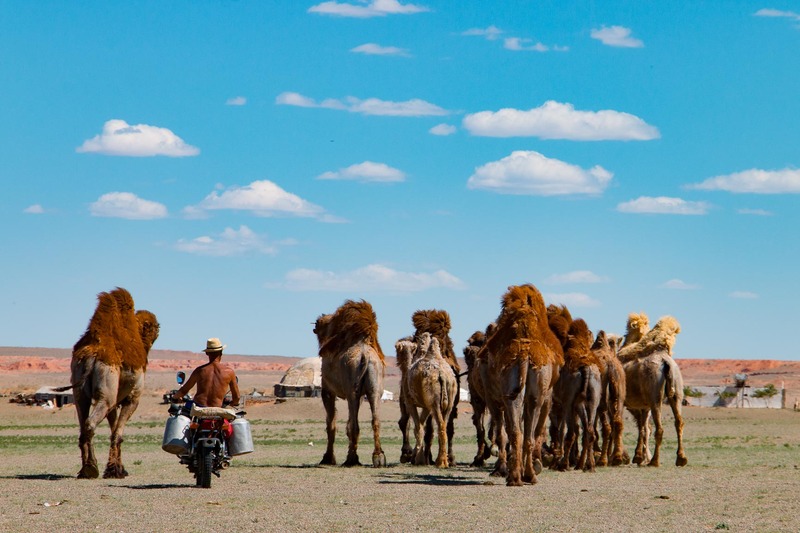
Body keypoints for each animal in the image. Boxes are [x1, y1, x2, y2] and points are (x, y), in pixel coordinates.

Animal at [66, 286, 160, 478]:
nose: (158, 330)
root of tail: (92, 356)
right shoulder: (132, 399)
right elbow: (117, 434)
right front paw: (115, 470)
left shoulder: (116, 401)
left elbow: (113, 429)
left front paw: (117, 468)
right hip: (106, 388)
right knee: (90, 423)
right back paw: (91, 467)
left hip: (79, 389)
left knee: (82, 419)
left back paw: (85, 469)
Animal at [314, 300, 386, 466]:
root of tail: (365, 355)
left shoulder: (327, 390)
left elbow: (331, 425)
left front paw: (328, 458)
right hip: (374, 387)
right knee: (375, 420)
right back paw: (378, 456)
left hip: (351, 389)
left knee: (354, 425)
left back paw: (352, 459)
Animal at [396, 308, 460, 466]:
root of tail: (443, 375)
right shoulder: (426, 406)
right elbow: (422, 426)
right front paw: (417, 455)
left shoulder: (410, 402)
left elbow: (418, 427)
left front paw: (415, 457)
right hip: (449, 400)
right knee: (446, 426)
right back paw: (444, 459)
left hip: (435, 402)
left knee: (440, 425)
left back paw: (441, 461)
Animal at [482, 284, 564, 484]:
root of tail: (525, 350)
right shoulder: (548, 396)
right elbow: (540, 429)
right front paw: (538, 462)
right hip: (537, 393)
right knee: (528, 432)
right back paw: (529, 474)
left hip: (510, 390)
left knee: (514, 432)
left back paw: (513, 475)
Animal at [620, 314, 688, 468]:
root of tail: (666, 362)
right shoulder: (643, 406)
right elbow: (643, 428)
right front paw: (638, 457)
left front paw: (635, 457)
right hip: (676, 393)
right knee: (679, 423)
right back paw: (681, 459)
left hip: (655, 396)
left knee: (659, 428)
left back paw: (654, 461)